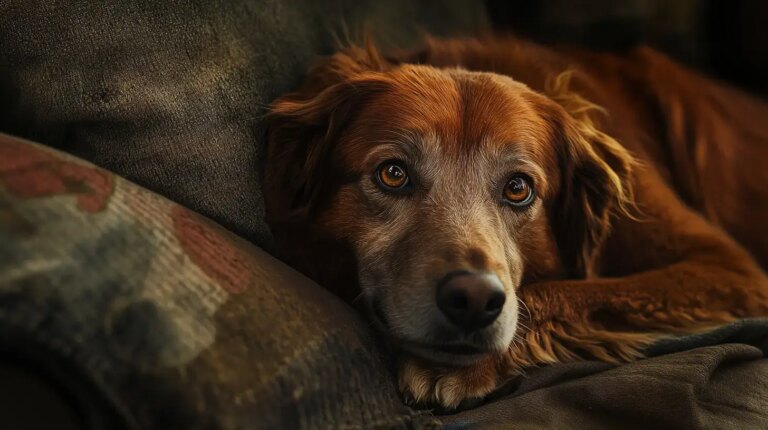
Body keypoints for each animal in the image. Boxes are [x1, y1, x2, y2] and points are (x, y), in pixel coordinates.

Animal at [262, 35, 768, 408]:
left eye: (518, 187)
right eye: (393, 174)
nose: (473, 301)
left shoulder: (726, 267)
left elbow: (557, 294)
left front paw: (455, 367)